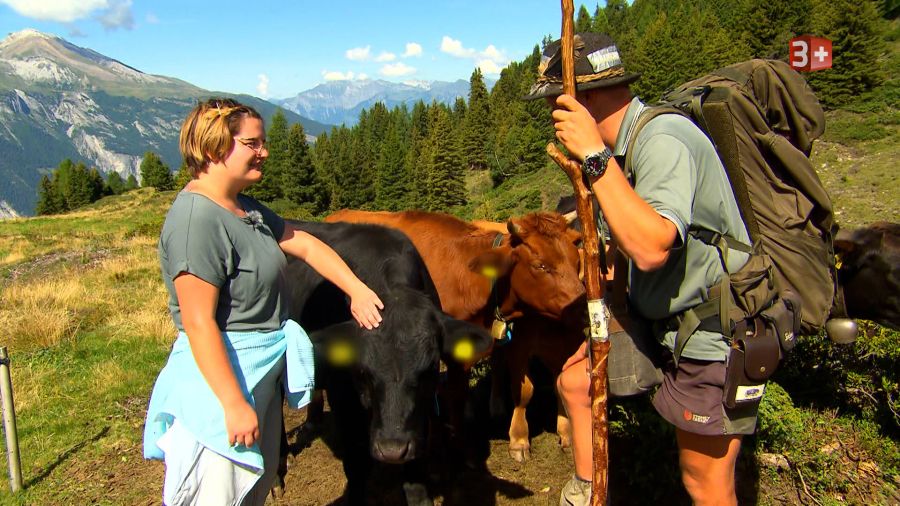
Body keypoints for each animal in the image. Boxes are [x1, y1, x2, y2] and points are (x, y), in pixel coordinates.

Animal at [284, 222, 488, 506]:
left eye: (429, 369)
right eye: (363, 371)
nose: (391, 450)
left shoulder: (421, 409)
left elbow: (416, 470)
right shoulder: (344, 400)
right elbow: (356, 464)